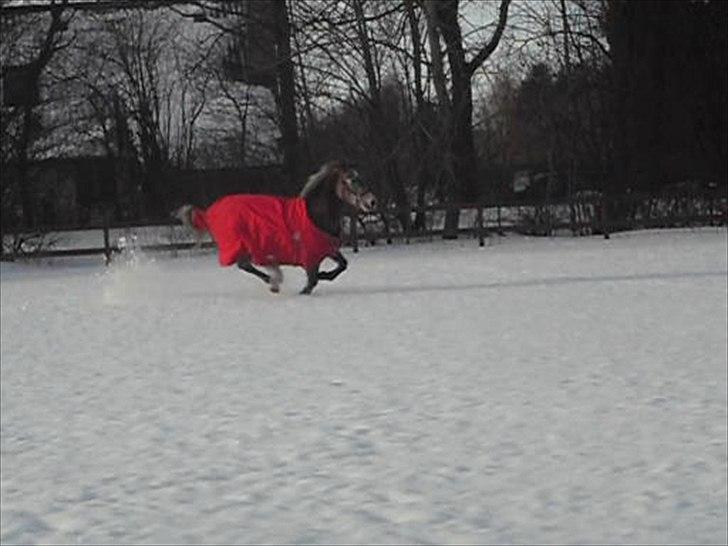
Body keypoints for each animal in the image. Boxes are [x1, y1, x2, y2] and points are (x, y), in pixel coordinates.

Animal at [171, 160, 376, 294]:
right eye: (351, 180)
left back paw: (273, 279)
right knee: (246, 265)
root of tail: (208, 213)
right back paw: (273, 281)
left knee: (249, 264)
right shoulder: (310, 256)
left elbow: (342, 265)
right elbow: (311, 282)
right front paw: (309, 285)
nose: (372, 201)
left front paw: (325, 274)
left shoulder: (327, 249)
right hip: (244, 245)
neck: (315, 216)